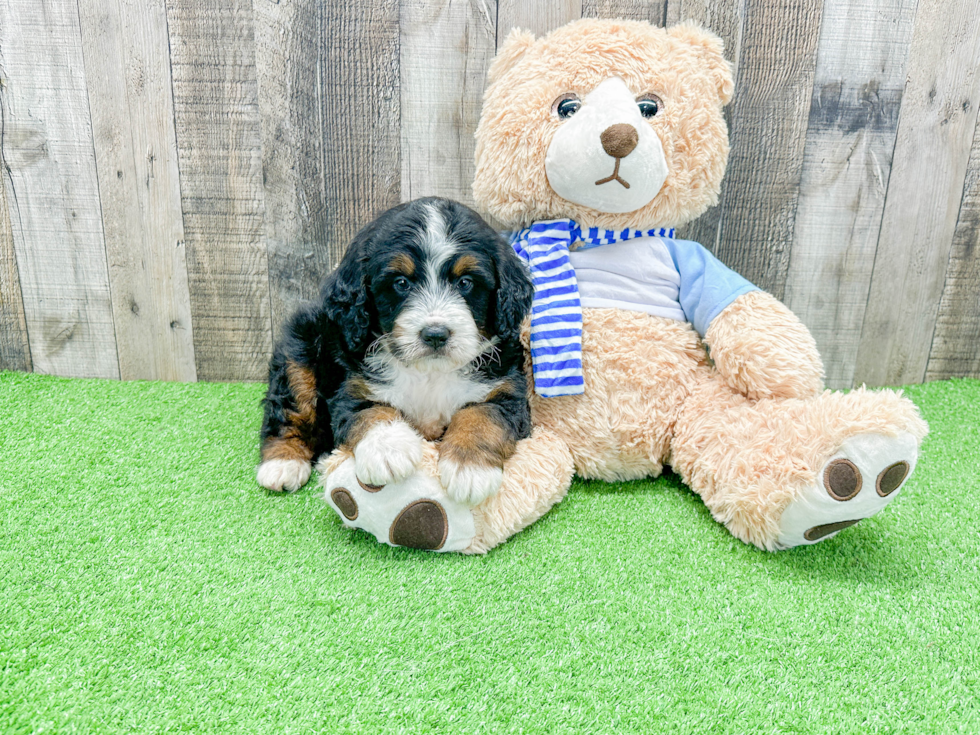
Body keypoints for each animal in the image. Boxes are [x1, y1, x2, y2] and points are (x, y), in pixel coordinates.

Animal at [256, 196, 536, 508]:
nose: (435, 334)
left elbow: (483, 415)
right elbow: (371, 411)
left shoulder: (506, 389)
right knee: (290, 408)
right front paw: (388, 450)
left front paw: (470, 469)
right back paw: (283, 463)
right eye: (401, 283)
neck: (429, 373)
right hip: (299, 349)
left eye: (465, 282)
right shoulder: (351, 388)